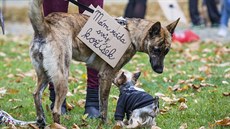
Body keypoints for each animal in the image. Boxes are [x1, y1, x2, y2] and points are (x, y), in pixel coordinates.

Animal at [28, 0, 180, 127]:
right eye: (156, 49)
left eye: (167, 51)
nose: (160, 70)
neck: (130, 33)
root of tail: (46, 25)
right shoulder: (106, 75)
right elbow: (104, 106)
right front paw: (105, 124)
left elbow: (102, 103)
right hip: (62, 76)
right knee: (56, 109)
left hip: (45, 74)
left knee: (36, 94)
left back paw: (41, 120)